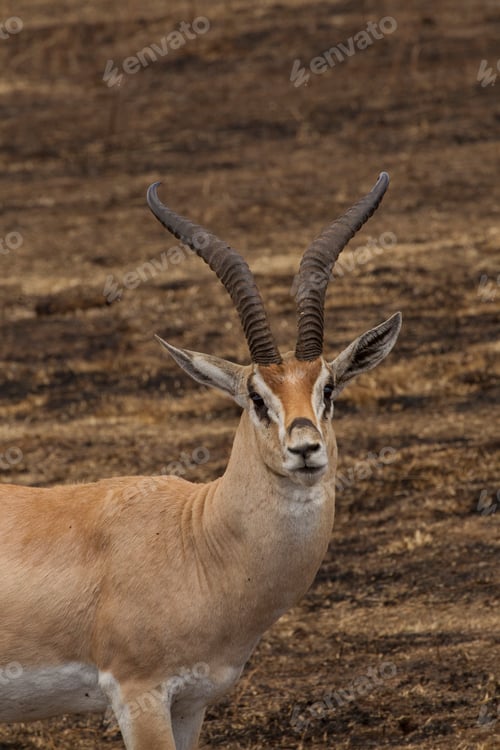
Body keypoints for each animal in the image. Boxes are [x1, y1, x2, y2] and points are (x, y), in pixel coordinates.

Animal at [0, 172, 401, 749]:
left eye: (328, 389)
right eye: (256, 396)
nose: (305, 447)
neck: (197, 539)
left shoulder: (191, 702)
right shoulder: (138, 693)